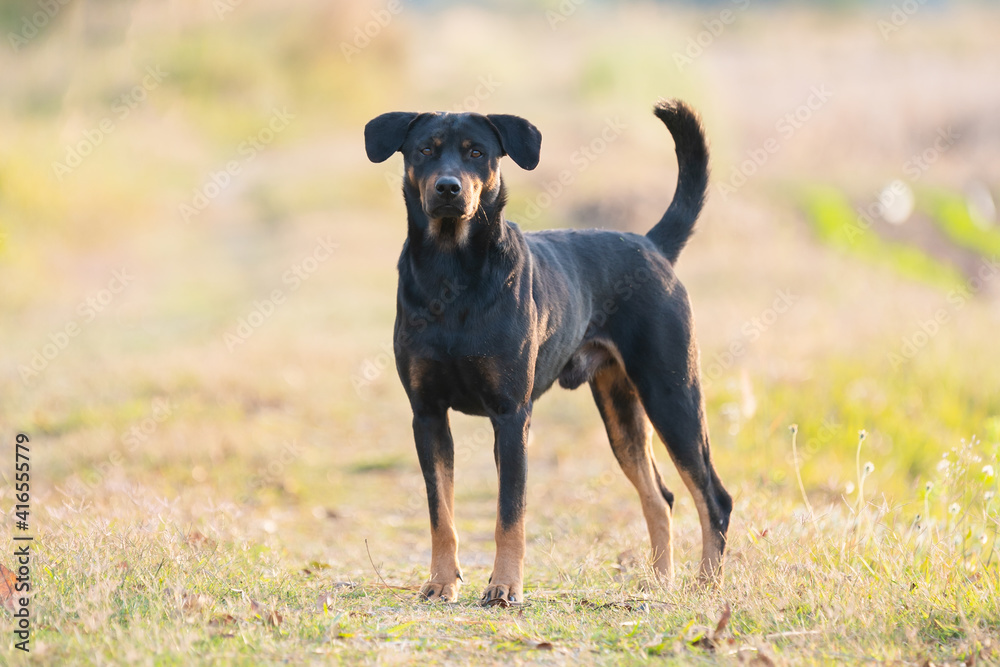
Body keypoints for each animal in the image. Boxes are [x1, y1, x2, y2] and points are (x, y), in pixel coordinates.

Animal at [364, 99, 732, 604]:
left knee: (713, 496)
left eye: (477, 152)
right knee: (660, 496)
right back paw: (659, 582)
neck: (451, 270)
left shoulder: (511, 415)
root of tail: (653, 245)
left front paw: (504, 587)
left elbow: (509, 514)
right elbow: (441, 511)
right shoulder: (428, 414)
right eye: (425, 150)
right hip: (621, 411)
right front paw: (441, 582)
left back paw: (707, 585)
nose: (448, 188)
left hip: (672, 394)